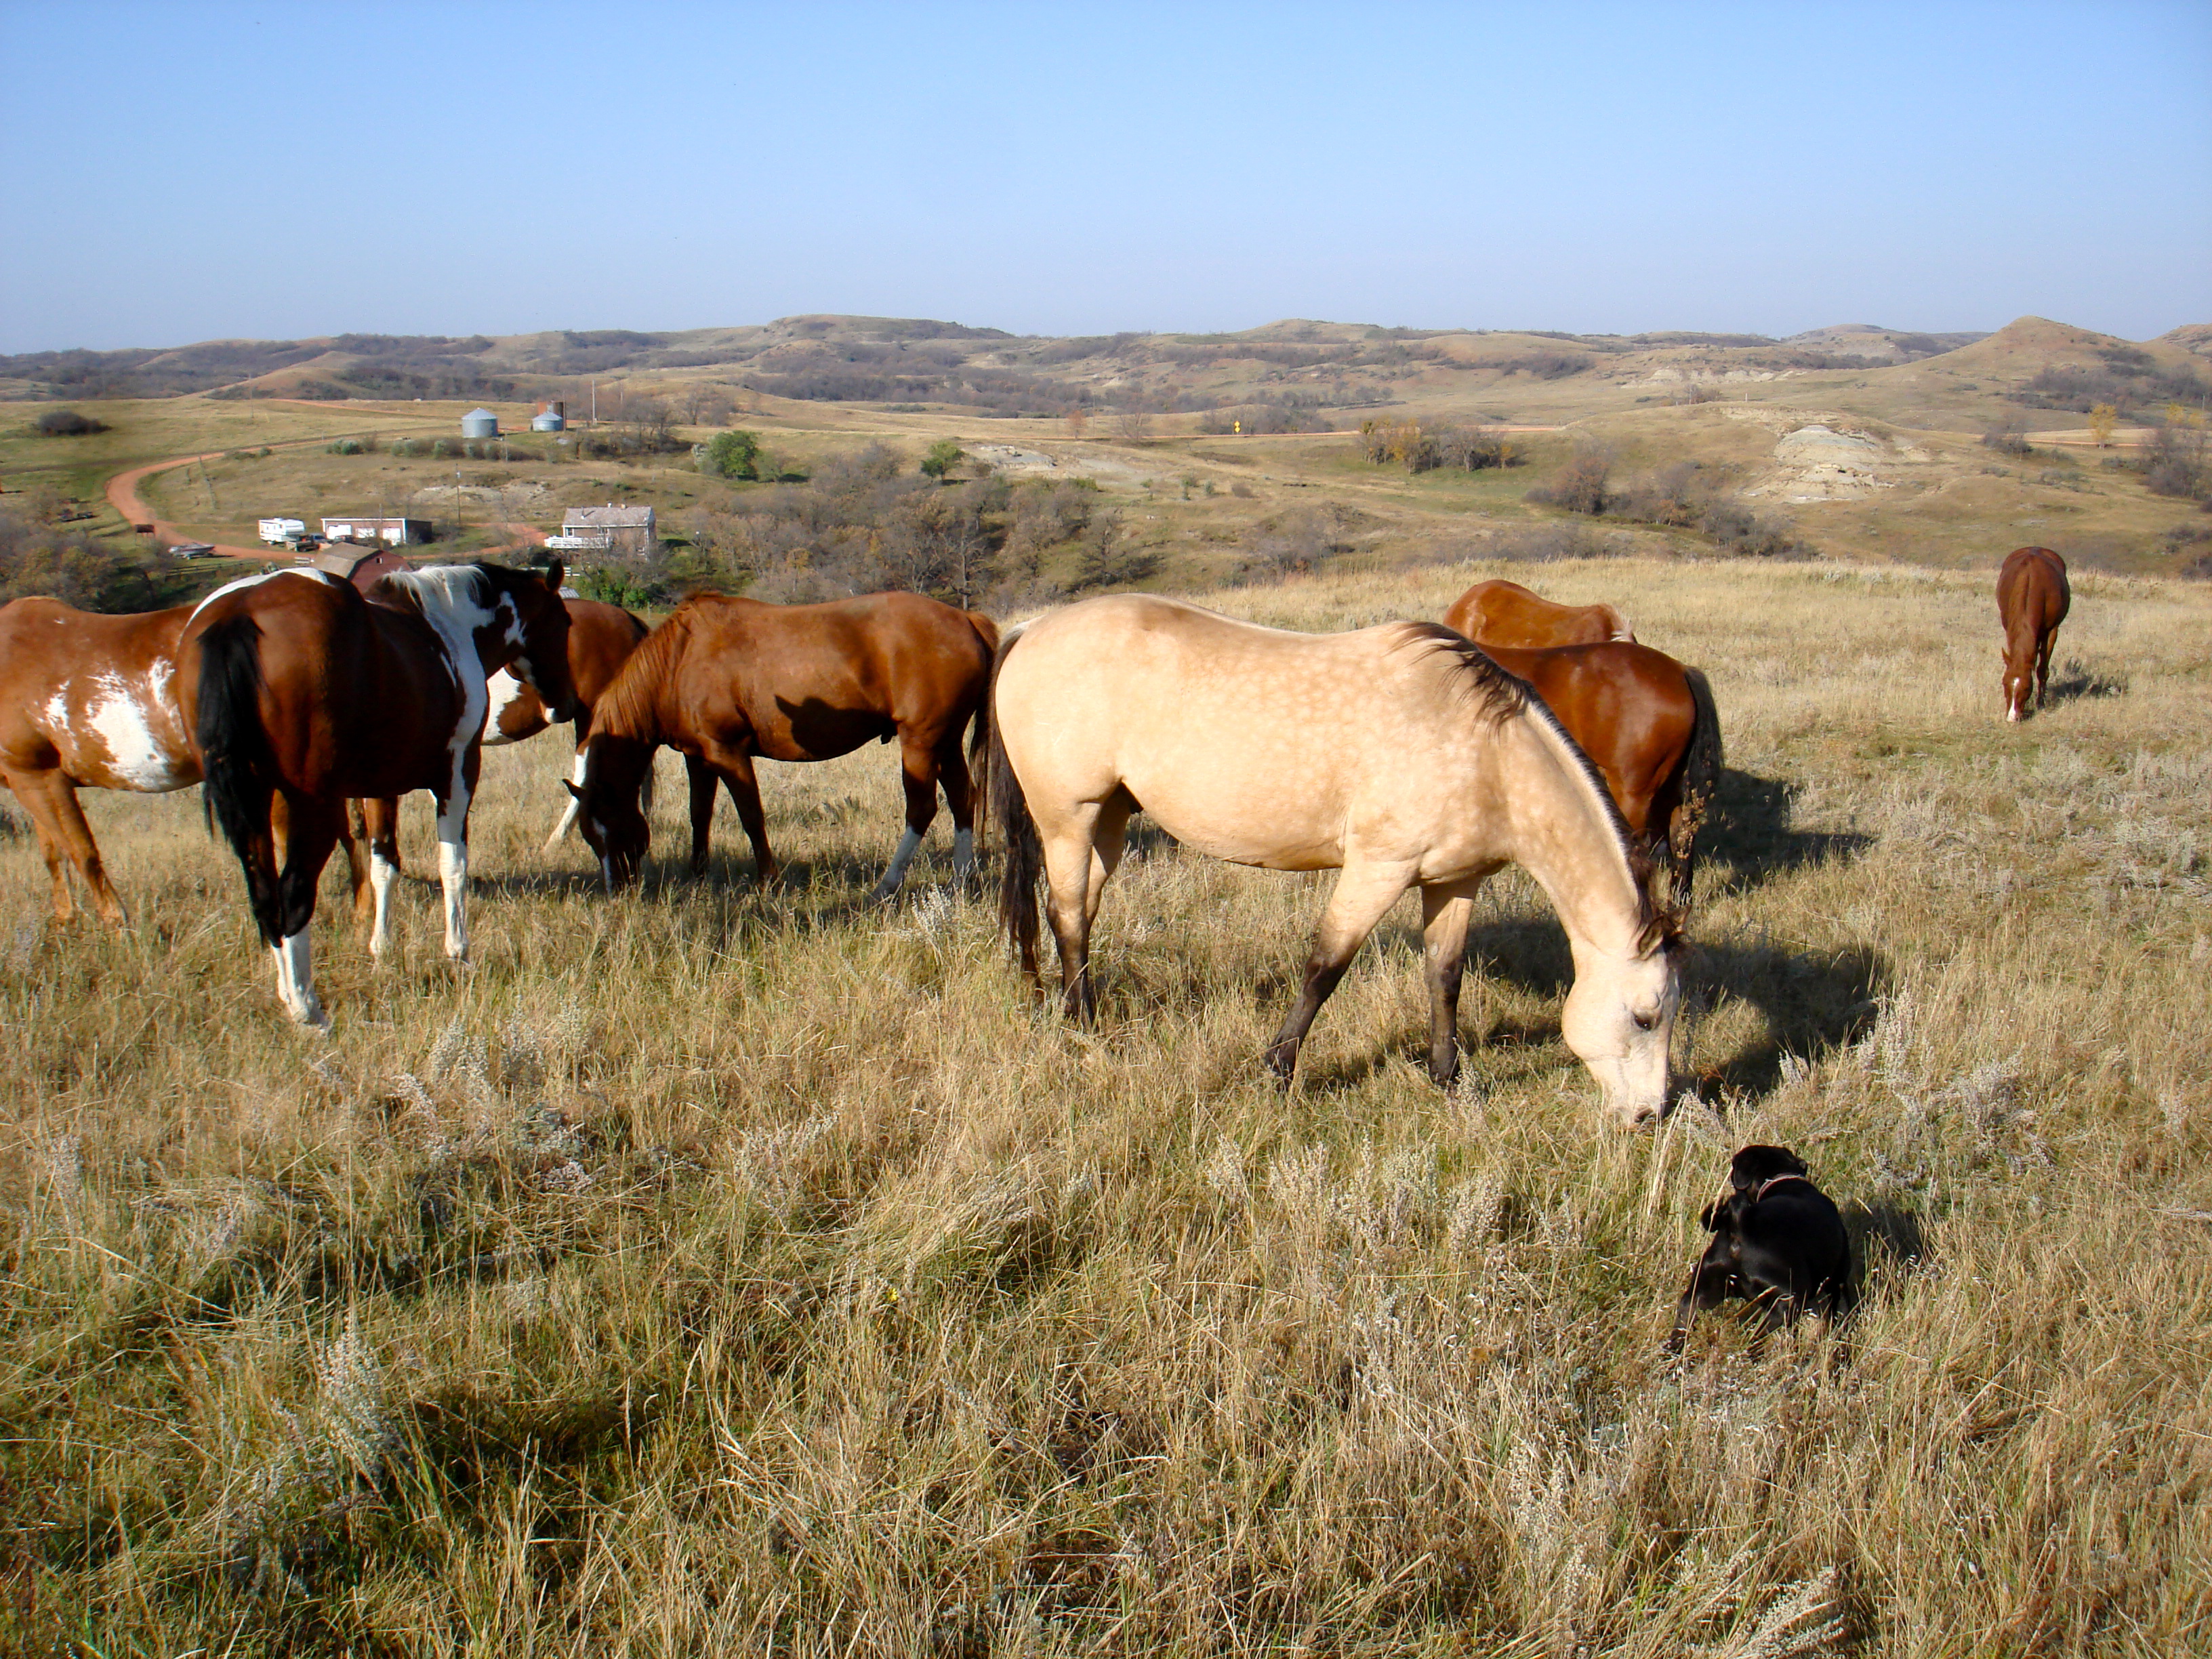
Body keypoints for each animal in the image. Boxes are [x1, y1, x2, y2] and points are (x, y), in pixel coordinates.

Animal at [180, 560, 574, 1027]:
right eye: (564, 623)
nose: (565, 705)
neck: (448, 624)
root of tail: (237, 613)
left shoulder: (380, 788)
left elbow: (383, 864)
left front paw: (381, 949)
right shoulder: (459, 770)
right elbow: (453, 865)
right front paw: (459, 952)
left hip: (261, 803)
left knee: (264, 893)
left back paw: (287, 993)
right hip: (313, 807)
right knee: (294, 895)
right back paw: (307, 1009)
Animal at [571, 591, 997, 900]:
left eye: (609, 828)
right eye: (589, 837)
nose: (616, 891)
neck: (680, 659)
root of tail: (966, 619)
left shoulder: (728, 753)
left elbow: (751, 817)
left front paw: (768, 880)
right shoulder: (699, 758)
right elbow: (699, 815)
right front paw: (698, 875)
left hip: (921, 743)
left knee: (922, 809)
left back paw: (887, 885)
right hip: (945, 741)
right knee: (963, 799)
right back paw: (961, 880)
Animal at [989, 594, 1681, 1125]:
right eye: (1646, 1017)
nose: (1649, 1117)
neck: (1488, 752)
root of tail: (1030, 629)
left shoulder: (1454, 880)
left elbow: (1445, 976)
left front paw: (1448, 1078)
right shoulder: (1380, 868)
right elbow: (1325, 967)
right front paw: (1277, 1071)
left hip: (1108, 818)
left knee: (1081, 914)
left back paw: (1080, 1009)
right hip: (1068, 818)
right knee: (1067, 915)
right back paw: (1082, 1026)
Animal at [1996, 546, 2069, 721]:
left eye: (2027, 688)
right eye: (2004, 683)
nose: (2012, 717)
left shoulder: (2052, 631)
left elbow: (2042, 670)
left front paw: (2041, 703)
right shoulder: (2010, 627)